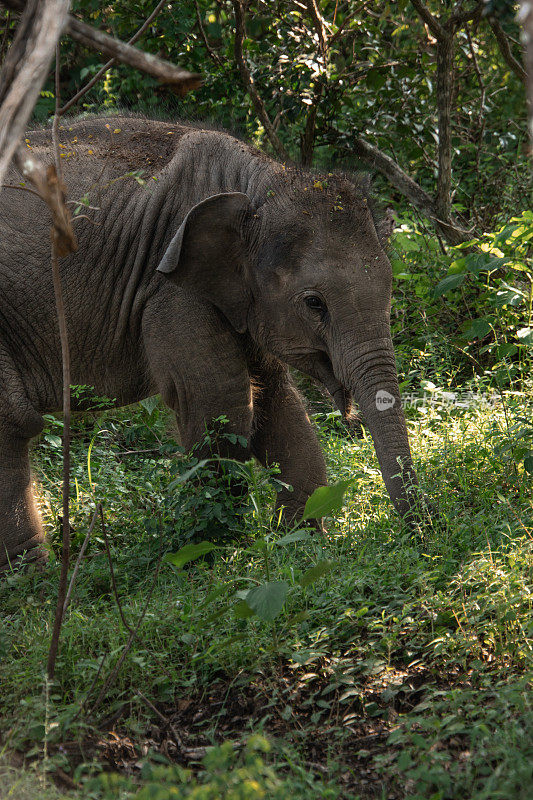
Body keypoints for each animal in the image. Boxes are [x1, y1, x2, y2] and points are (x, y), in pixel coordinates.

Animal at [0, 115, 424, 572]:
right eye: (314, 303)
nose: (422, 533)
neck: (259, 180)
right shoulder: (170, 292)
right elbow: (221, 399)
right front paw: (210, 553)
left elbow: (276, 399)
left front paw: (302, 542)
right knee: (12, 420)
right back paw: (34, 578)